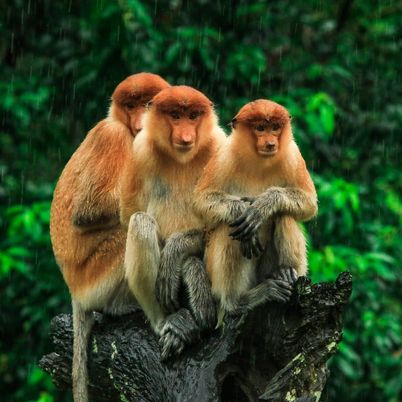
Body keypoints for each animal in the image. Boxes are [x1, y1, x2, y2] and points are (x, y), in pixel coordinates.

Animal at [49, 73, 170, 402]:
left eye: (148, 104)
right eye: (131, 105)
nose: (140, 120)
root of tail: (74, 290)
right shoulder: (112, 136)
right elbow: (87, 211)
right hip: (95, 278)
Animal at [119, 85, 226, 358]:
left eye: (193, 116)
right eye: (176, 116)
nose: (186, 137)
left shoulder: (219, 146)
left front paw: (175, 253)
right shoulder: (139, 150)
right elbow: (129, 213)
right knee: (141, 222)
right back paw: (169, 322)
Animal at [194, 99, 318, 314]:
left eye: (275, 127)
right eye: (260, 128)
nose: (271, 144)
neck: (259, 160)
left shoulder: (293, 154)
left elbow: (309, 202)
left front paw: (262, 206)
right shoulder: (223, 155)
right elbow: (200, 200)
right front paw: (242, 211)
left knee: (284, 214)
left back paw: (286, 274)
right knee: (229, 227)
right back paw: (238, 301)